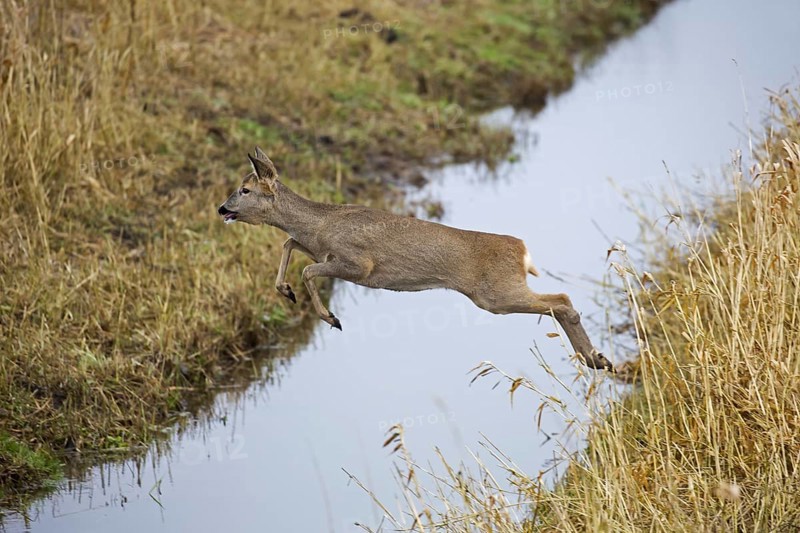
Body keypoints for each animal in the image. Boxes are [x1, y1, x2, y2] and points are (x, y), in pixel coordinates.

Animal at [217, 148, 613, 371]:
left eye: (245, 190)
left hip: (496, 294)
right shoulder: (316, 247)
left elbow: (308, 270)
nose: (222, 208)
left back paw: (595, 359)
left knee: (561, 300)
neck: (321, 223)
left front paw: (332, 318)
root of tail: (522, 248)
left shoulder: (358, 264)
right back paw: (597, 360)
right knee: (561, 302)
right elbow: (288, 244)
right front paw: (285, 291)